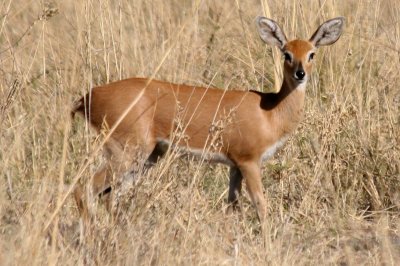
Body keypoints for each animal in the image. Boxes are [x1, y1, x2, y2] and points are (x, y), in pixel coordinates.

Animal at [71, 15, 344, 221]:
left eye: (312, 54)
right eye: (286, 53)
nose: (300, 74)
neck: (269, 112)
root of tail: (87, 98)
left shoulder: (234, 166)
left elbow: (233, 206)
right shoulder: (249, 161)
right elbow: (261, 205)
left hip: (147, 157)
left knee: (108, 196)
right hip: (127, 152)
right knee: (84, 189)